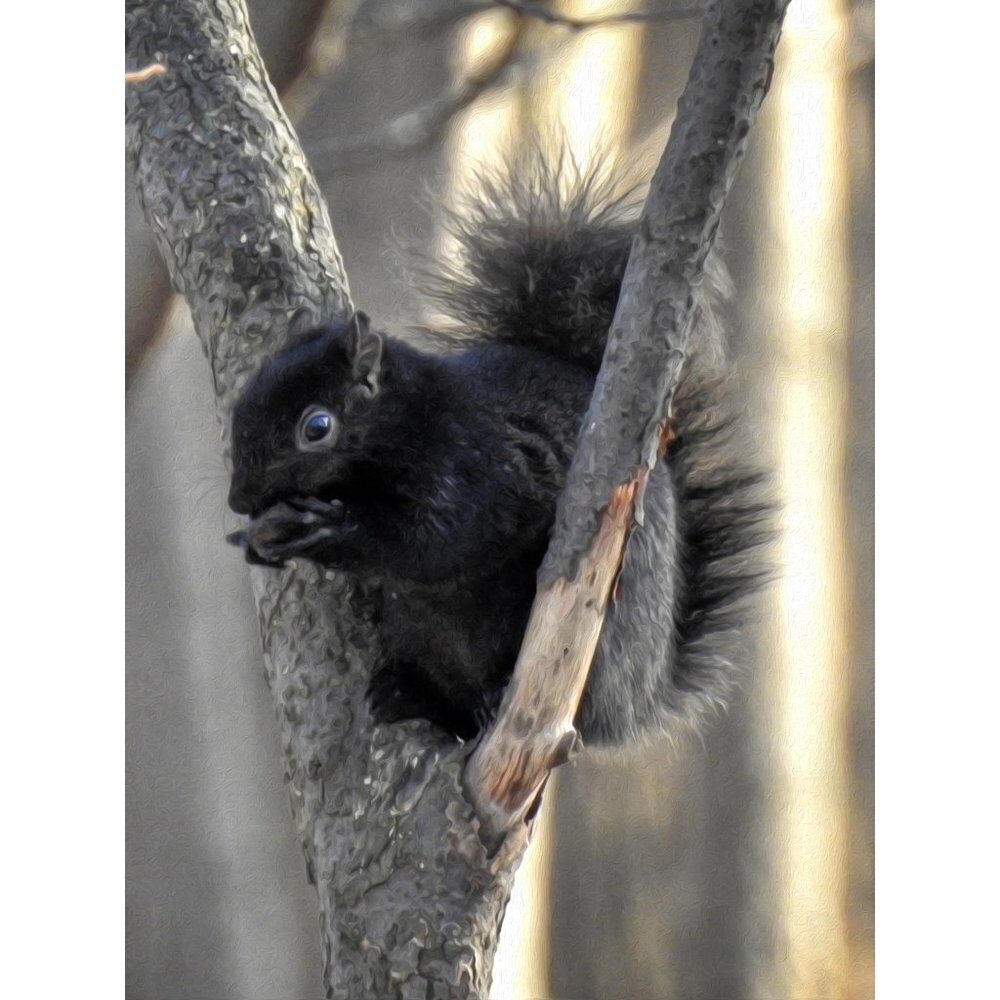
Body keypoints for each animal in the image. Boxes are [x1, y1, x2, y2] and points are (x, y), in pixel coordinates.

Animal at [226, 160, 775, 746]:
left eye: (317, 427)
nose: (239, 500)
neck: (413, 422)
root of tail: (638, 704)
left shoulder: (487, 464)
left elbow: (442, 540)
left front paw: (330, 531)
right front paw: (254, 541)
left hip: (595, 648)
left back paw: (494, 697)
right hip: (419, 632)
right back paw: (410, 695)